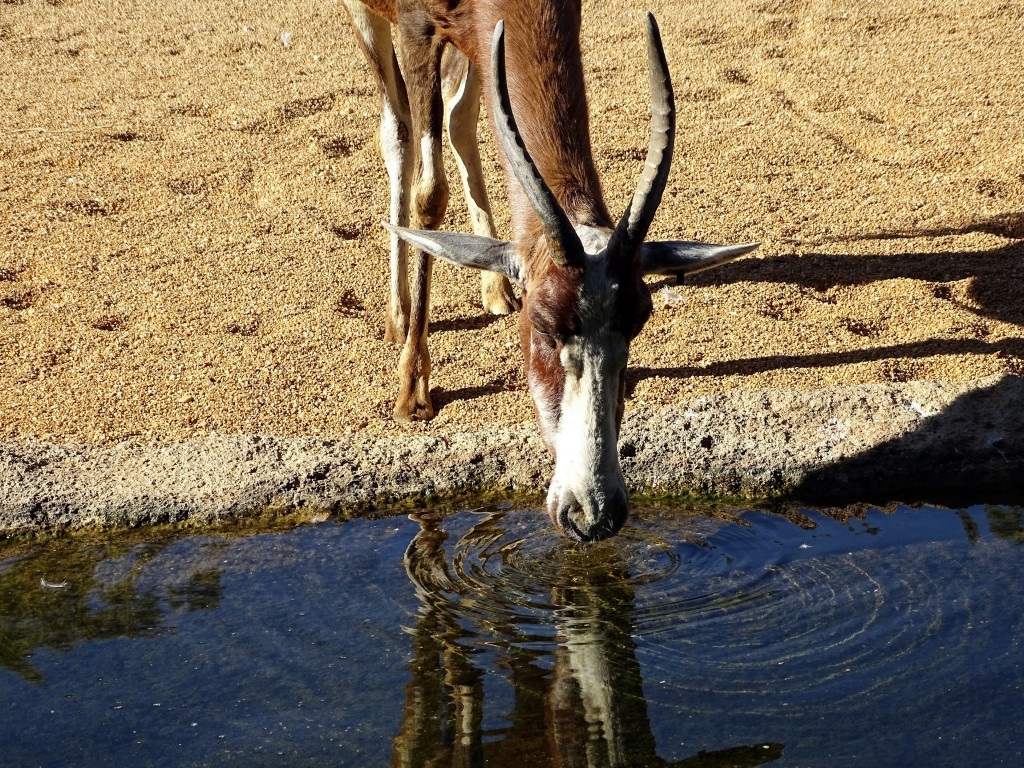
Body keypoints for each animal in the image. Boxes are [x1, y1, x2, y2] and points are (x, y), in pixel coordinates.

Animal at [342, 0, 753, 540]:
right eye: (542, 326)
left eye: (636, 324)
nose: (592, 513)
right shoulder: (416, 30)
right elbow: (429, 192)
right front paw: (413, 393)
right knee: (399, 134)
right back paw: (398, 318)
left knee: (460, 119)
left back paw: (495, 289)